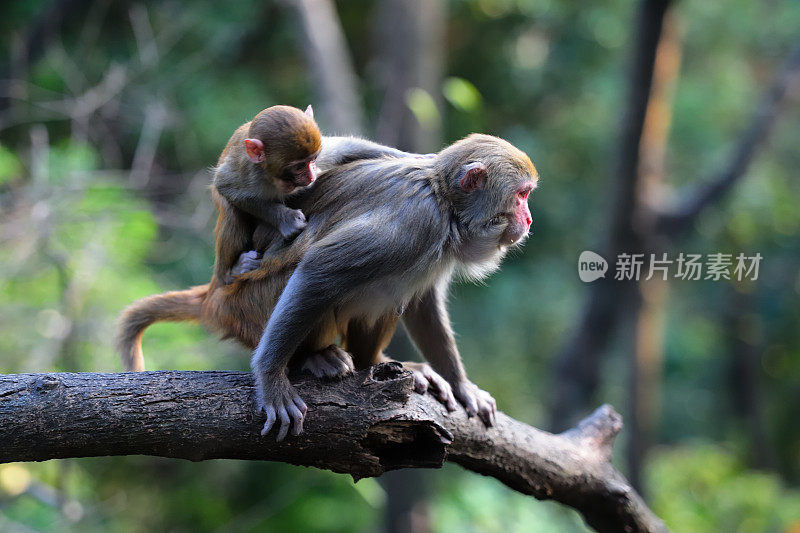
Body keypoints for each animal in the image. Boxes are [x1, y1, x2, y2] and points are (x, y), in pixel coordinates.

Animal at [115, 134, 536, 440]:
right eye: (521, 195)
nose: (529, 219)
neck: (444, 203)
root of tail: (216, 297)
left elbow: (423, 304)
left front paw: (462, 385)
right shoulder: (414, 224)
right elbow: (318, 270)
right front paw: (270, 379)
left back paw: (375, 364)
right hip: (249, 306)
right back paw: (313, 358)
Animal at [211, 105, 320, 282]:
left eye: (313, 160)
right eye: (298, 167)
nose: (311, 176)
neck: (272, 177)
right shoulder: (245, 169)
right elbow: (226, 187)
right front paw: (288, 219)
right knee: (230, 210)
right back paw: (229, 272)